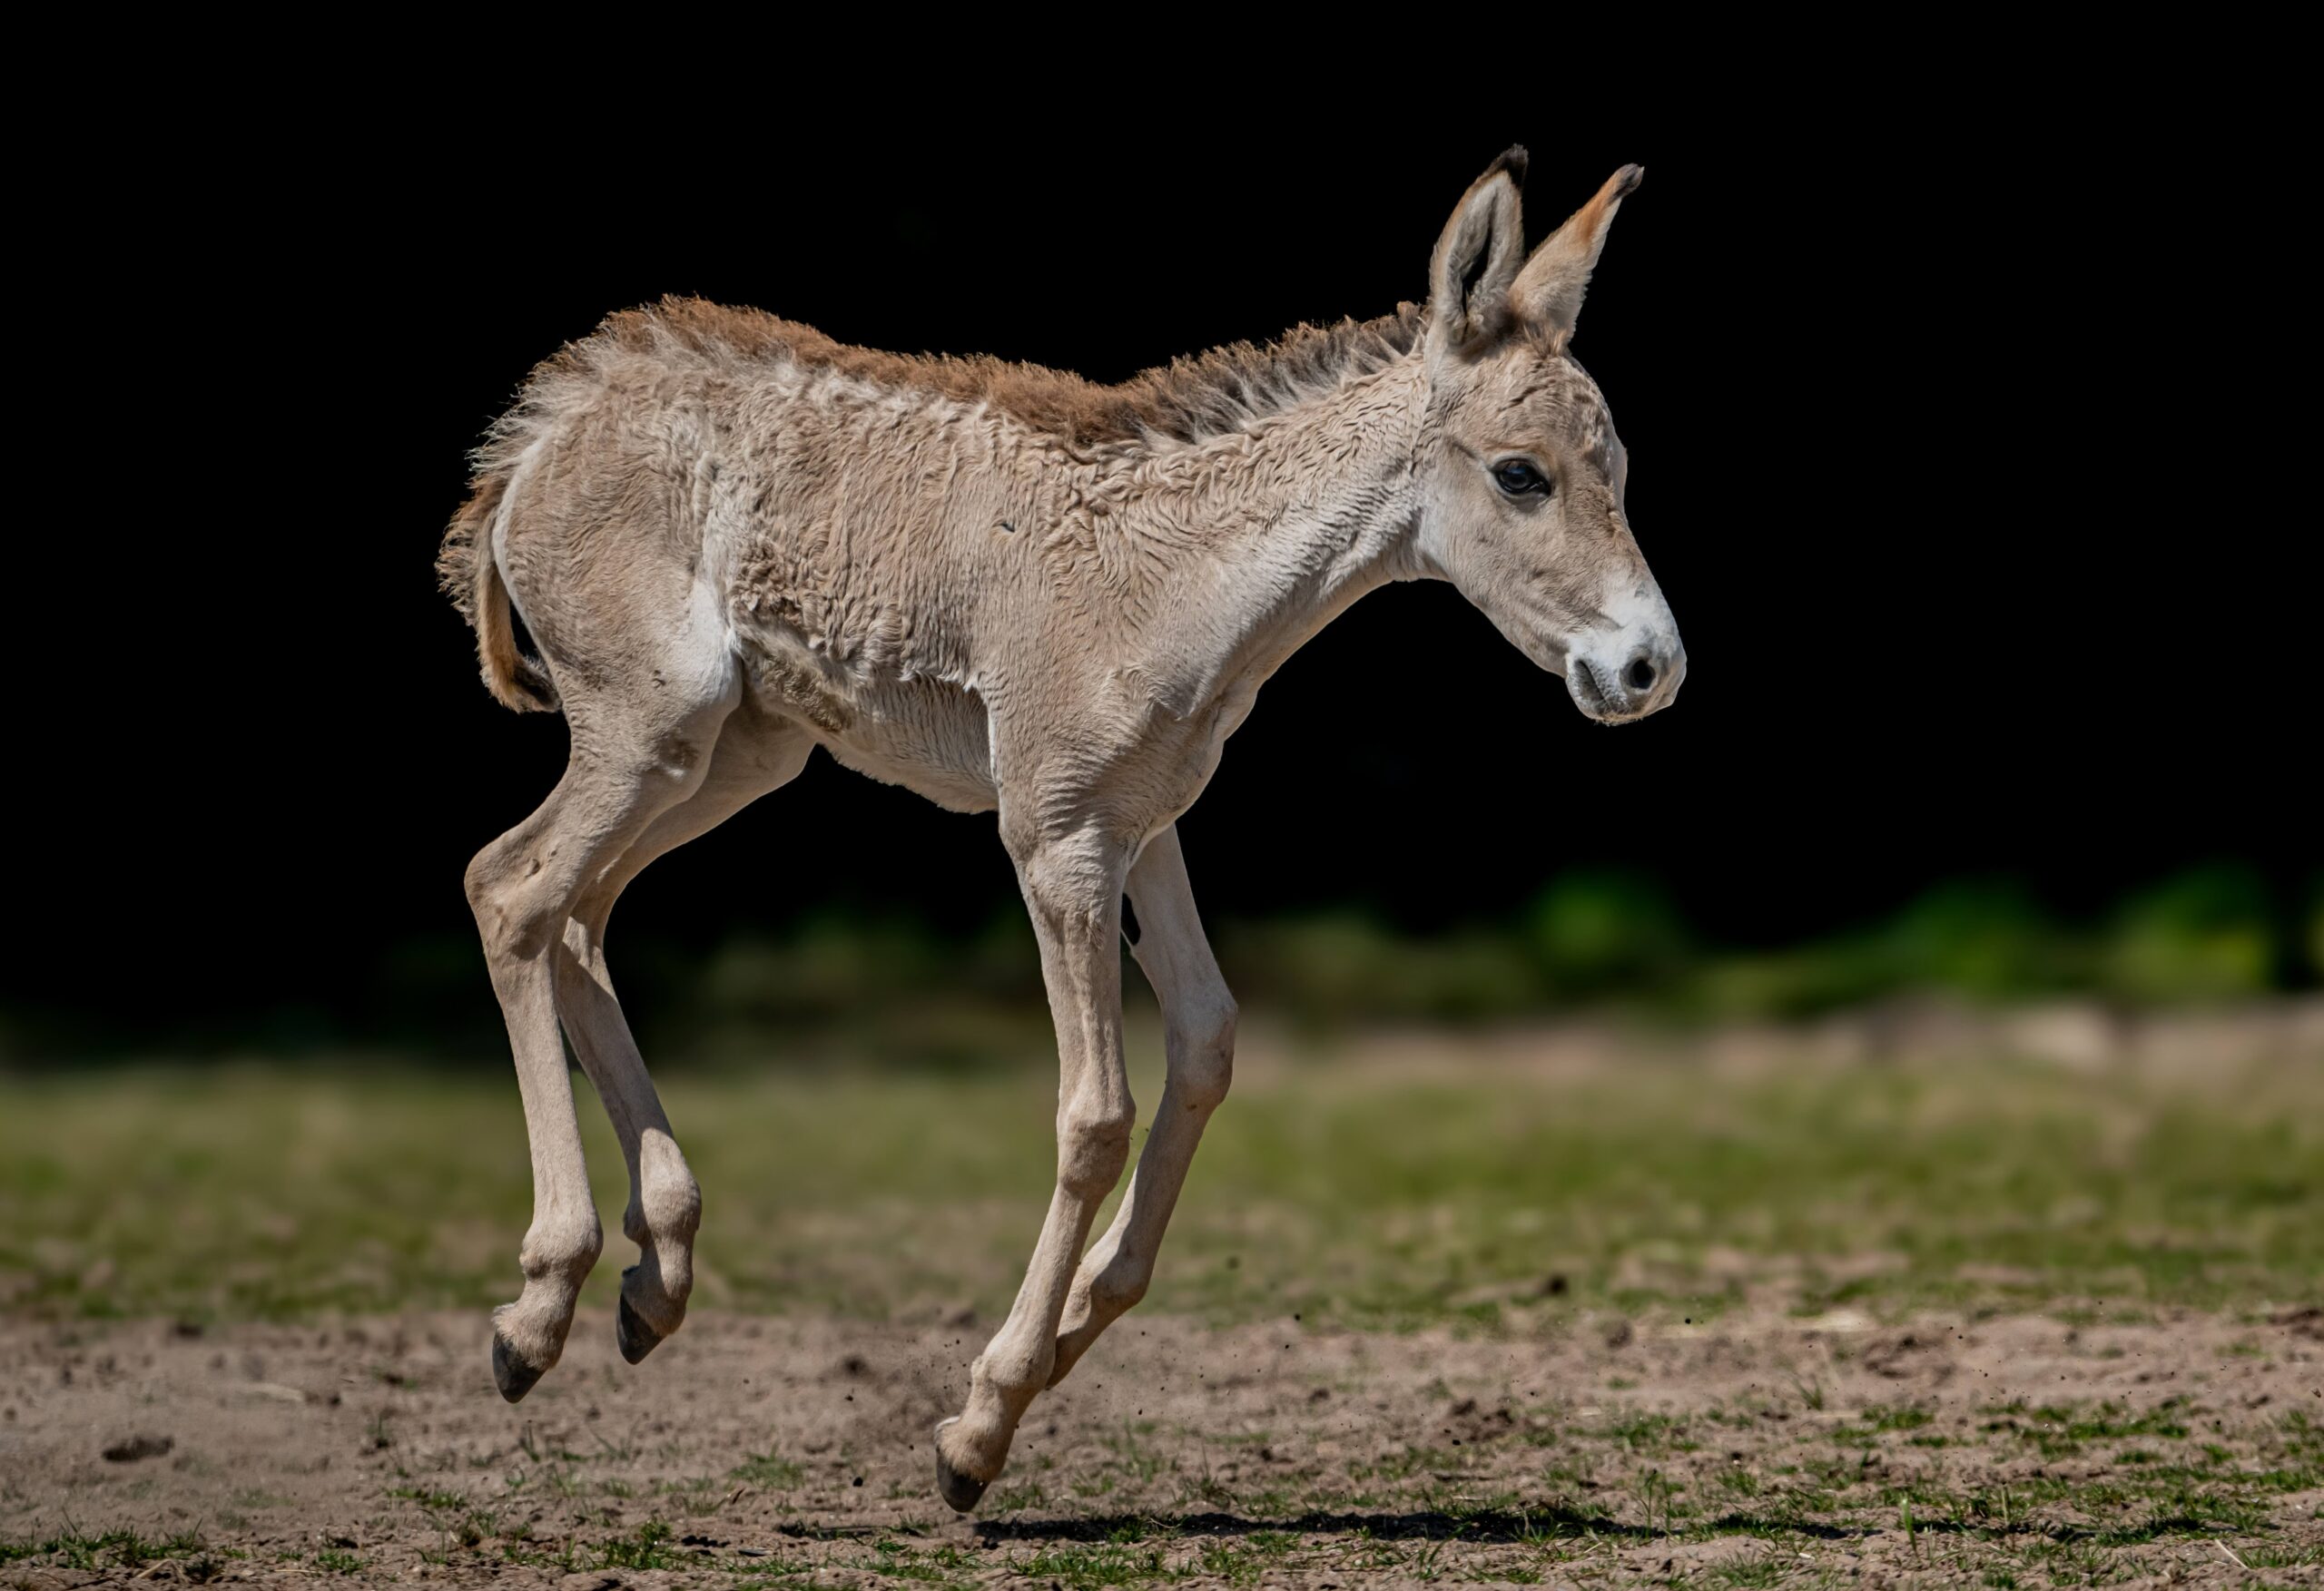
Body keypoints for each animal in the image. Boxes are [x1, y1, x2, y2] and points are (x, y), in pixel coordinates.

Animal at [437, 152, 1682, 1514]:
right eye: (1521, 473)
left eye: (1617, 463)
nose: (1650, 668)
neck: (1180, 583)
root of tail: (538, 431)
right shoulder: (1057, 837)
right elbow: (1094, 1113)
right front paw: (978, 1428)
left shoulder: (1152, 826)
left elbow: (1208, 1045)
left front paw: (1069, 1327)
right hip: (652, 728)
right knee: (512, 889)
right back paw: (538, 1308)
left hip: (732, 756)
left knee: (577, 914)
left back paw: (653, 1279)